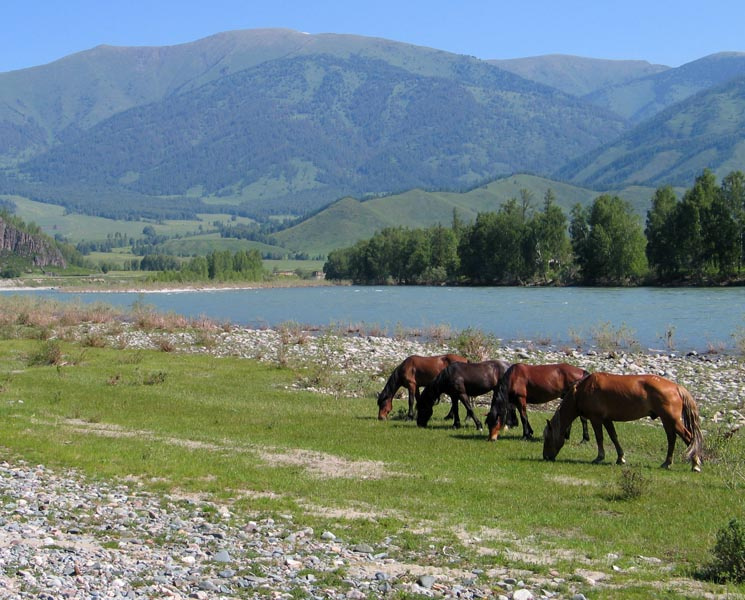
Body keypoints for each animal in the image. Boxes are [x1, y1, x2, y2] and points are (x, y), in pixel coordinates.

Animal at [542, 372, 703, 472]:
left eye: (547, 438)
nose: (546, 457)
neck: (582, 390)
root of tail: (677, 387)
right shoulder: (607, 419)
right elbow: (614, 437)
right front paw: (620, 458)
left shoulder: (596, 419)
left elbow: (600, 438)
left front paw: (599, 457)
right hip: (667, 420)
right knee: (672, 439)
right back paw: (667, 463)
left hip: (672, 420)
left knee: (688, 437)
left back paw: (695, 464)